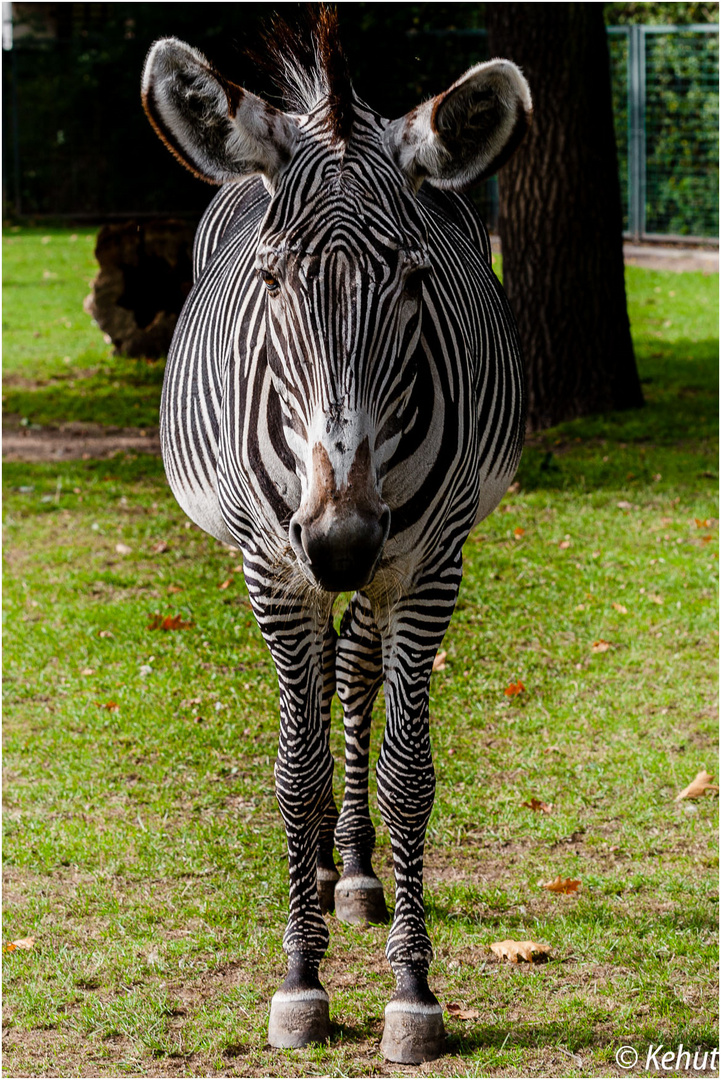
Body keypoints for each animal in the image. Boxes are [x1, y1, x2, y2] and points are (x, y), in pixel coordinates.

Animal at [143, 8, 533, 1067]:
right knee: (318, 686)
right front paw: (299, 975)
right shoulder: (274, 568)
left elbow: (407, 775)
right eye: (272, 279)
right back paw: (316, 870)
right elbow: (293, 769)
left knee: (350, 676)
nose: (342, 540)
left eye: (413, 280)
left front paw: (411, 988)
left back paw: (350, 868)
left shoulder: (427, 565)